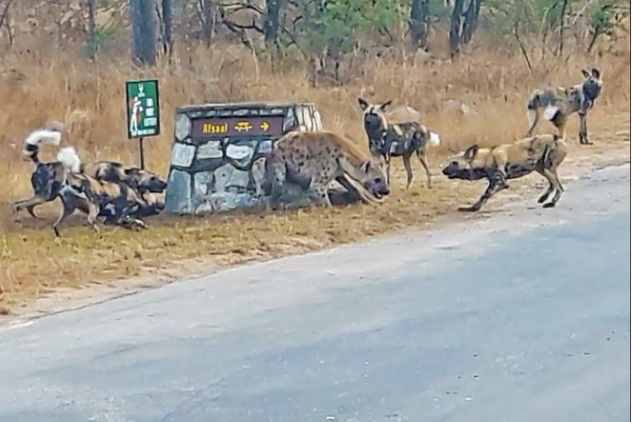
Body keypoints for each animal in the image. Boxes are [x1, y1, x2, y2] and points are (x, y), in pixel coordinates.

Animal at [262, 129, 390, 208]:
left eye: (385, 179)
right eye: (377, 179)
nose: (387, 191)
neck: (341, 154)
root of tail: (273, 147)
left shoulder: (339, 172)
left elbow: (354, 188)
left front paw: (371, 202)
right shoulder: (319, 179)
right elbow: (322, 195)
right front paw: (331, 209)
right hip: (279, 166)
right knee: (276, 190)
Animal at [440, 134, 568, 211]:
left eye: (455, 163)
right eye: (450, 162)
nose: (443, 170)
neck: (486, 158)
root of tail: (557, 138)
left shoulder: (500, 182)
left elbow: (485, 195)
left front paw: (474, 208)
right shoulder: (493, 181)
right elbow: (484, 197)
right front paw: (473, 208)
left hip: (547, 169)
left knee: (559, 187)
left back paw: (551, 203)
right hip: (541, 169)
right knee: (554, 185)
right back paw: (543, 199)